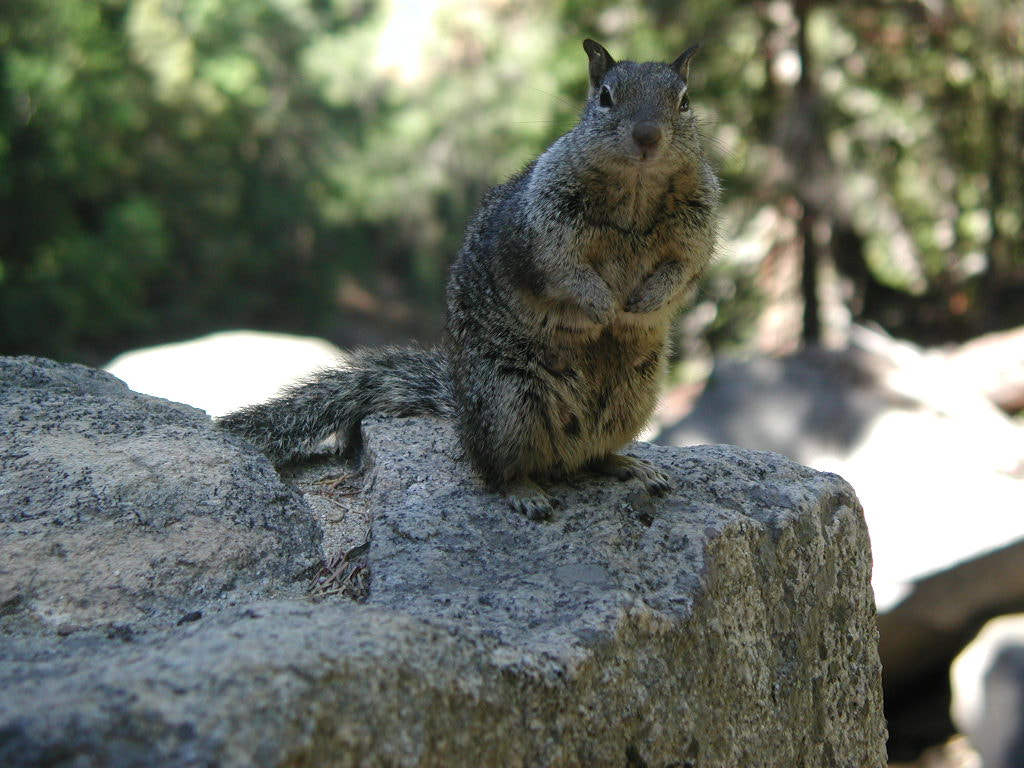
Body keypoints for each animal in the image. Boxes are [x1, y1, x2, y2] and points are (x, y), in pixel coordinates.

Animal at [217, 39, 720, 521]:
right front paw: (601, 304)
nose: (648, 136)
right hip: (510, 403)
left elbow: (686, 269)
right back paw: (526, 492)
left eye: (684, 101)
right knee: (497, 469)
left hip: (633, 396)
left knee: (592, 455)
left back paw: (629, 464)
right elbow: (564, 270)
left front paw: (648, 300)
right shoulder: (541, 229)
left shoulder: (698, 228)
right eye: (606, 97)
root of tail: (461, 408)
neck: (636, 190)